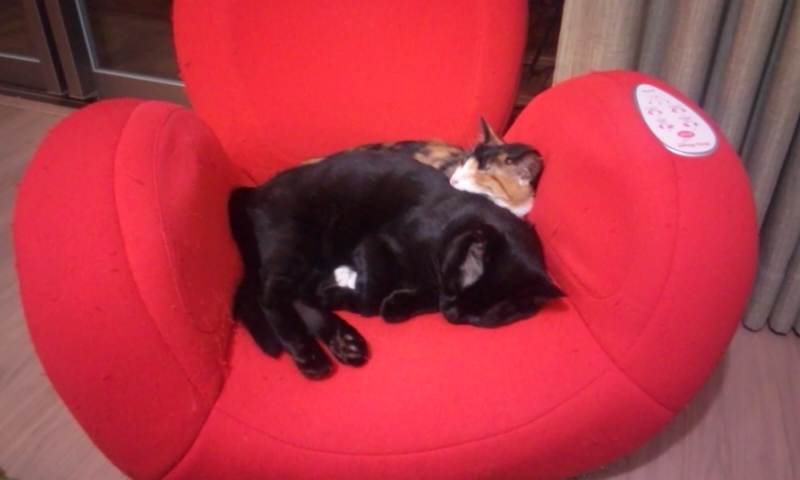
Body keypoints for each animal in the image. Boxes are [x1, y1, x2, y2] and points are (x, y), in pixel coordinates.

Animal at [229, 149, 561, 379]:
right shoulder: (376, 243)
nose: (452, 315)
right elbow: (371, 299)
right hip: (295, 245)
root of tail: (255, 192)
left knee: (297, 295)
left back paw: (344, 342)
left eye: (479, 317)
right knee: (271, 296)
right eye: (458, 285)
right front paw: (346, 297)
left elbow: (409, 299)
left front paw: (399, 304)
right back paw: (309, 356)